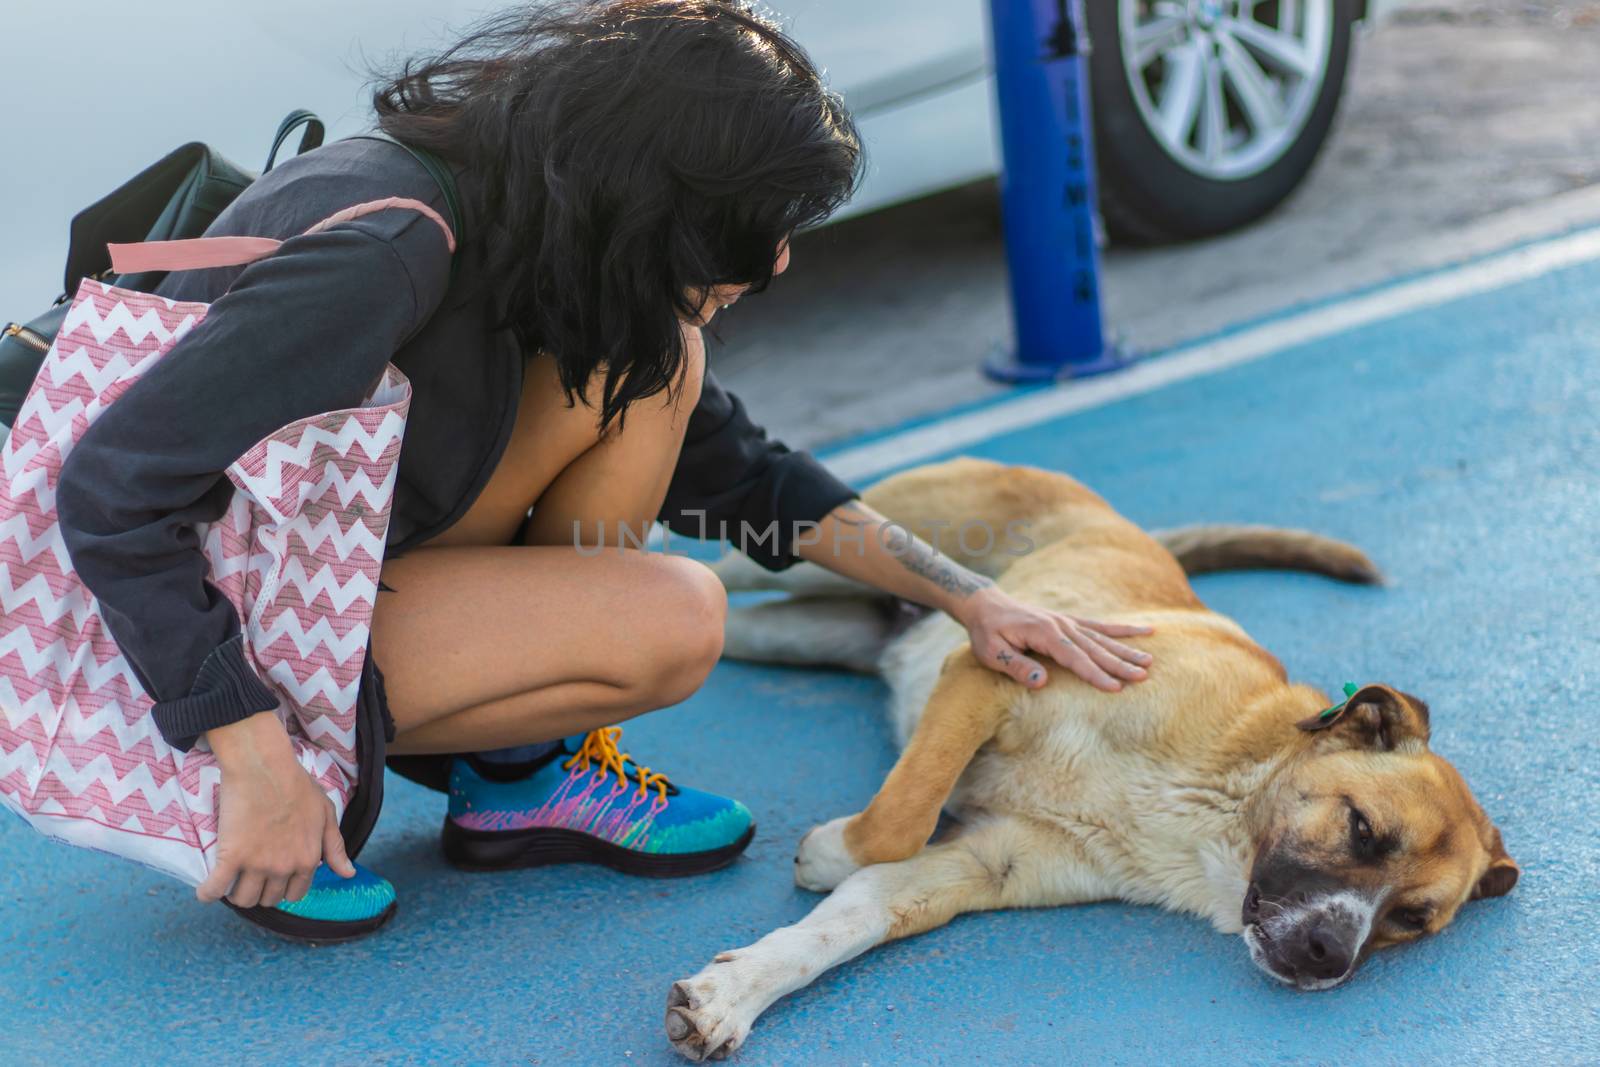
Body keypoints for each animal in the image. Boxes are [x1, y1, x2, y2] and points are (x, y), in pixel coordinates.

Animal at [668, 457, 1516, 1062]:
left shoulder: (981, 865)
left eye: (1411, 919)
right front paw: (828, 850)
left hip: (789, 628)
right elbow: (897, 821)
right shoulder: (988, 672)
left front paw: (730, 994)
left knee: (713, 600)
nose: (1327, 954)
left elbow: (843, 923)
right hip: (802, 542)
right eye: (1362, 828)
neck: (1218, 802)